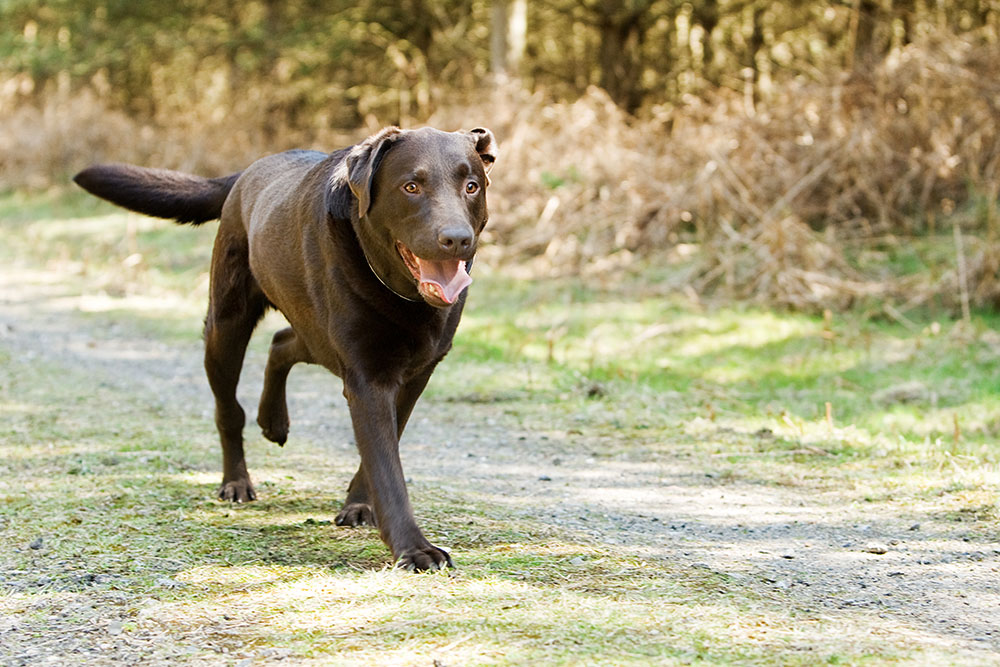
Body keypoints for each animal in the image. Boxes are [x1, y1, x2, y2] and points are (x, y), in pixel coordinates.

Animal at [75, 128, 500, 572]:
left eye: (471, 186)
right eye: (411, 187)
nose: (457, 239)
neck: (403, 296)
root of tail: (247, 171)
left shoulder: (415, 374)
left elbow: (384, 447)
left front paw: (359, 504)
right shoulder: (366, 377)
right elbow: (387, 468)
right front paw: (414, 548)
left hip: (315, 332)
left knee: (282, 342)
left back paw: (273, 421)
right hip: (227, 327)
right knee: (229, 410)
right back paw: (236, 481)